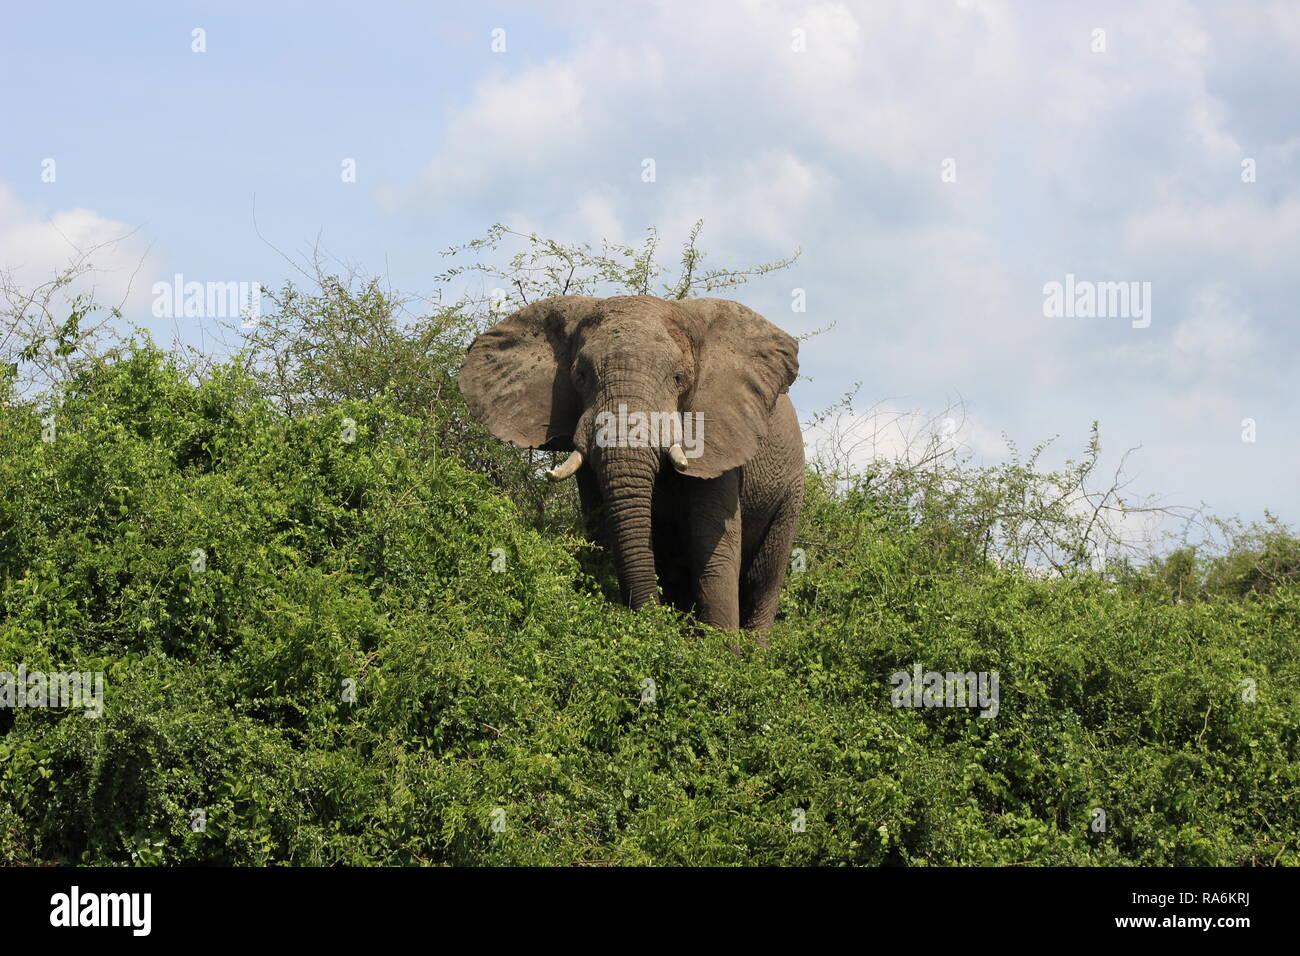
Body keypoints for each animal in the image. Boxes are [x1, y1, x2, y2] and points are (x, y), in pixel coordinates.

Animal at [457, 291, 800, 634]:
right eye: (580, 375)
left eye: (679, 378)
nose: (655, 626)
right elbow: (602, 529)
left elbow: (712, 548)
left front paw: (721, 648)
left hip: (789, 497)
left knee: (763, 581)